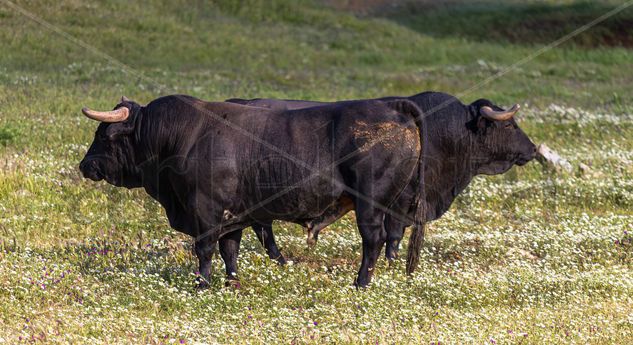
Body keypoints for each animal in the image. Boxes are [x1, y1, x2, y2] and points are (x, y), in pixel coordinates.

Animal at [78, 95, 424, 286]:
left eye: (103, 135)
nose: (85, 165)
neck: (179, 136)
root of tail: (393, 107)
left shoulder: (206, 211)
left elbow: (205, 249)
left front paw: (202, 284)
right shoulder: (233, 215)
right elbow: (229, 250)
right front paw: (232, 283)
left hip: (371, 205)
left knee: (374, 240)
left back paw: (361, 283)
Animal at [225, 90, 536, 272]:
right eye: (510, 125)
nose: (532, 149)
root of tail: (242, 101)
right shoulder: (401, 201)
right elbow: (393, 236)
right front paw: (391, 263)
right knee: (262, 228)